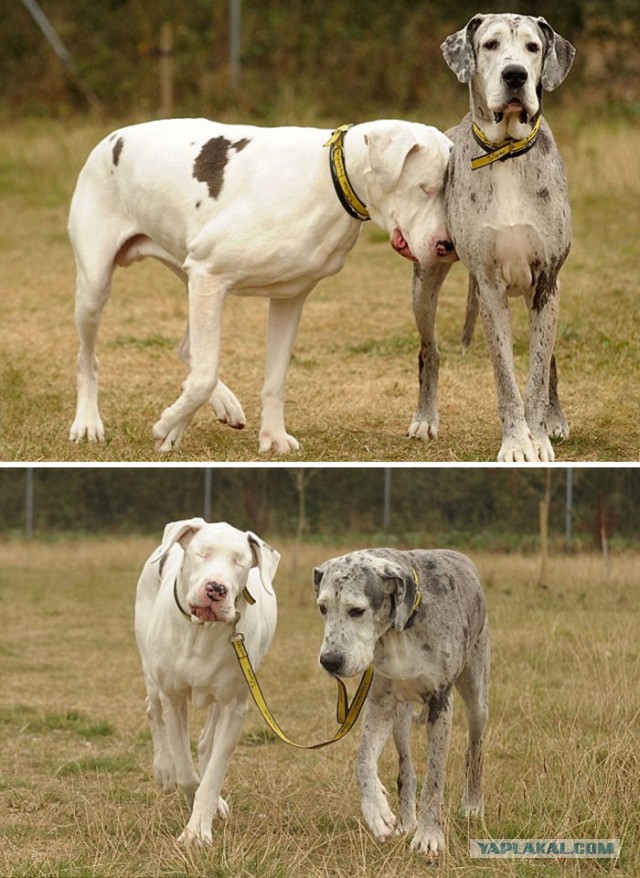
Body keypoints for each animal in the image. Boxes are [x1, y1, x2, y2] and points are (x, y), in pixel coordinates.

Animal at [69, 116, 456, 454]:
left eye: (448, 193)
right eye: (426, 189)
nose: (448, 246)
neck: (329, 179)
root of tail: (112, 137)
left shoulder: (288, 297)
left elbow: (274, 380)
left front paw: (272, 437)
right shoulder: (210, 277)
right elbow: (204, 376)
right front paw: (167, 425)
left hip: (188, 275)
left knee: (187, 349)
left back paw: (221, 405)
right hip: (97, 287)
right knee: (88, 359)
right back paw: (88, 422)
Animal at [134, 520, 276, 844]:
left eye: (240, 562)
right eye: (202, 554)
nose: (217, 589)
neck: (202, 630)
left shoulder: (234, 706)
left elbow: (213, 773)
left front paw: (198, 829)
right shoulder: (173, 698)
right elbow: (187, 773)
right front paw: (188, 795)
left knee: (206, 742)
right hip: (150, 670)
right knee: (152, 710)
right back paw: (164, 769)